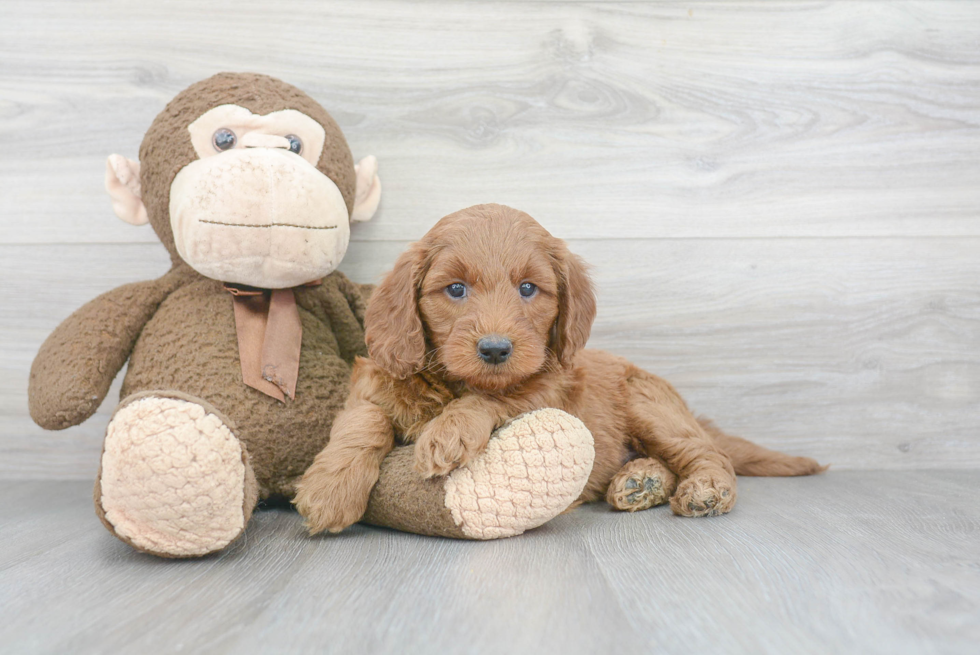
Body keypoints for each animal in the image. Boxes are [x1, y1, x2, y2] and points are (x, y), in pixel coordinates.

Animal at [294, 204, 824, 532]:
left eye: (529, 289)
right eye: (456, 289)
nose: (495, 349)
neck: (453, 383)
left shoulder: (548, 389)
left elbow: (495, 396)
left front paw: (450, 430)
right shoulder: (375, 380)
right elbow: (363, 422)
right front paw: (329, 489)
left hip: (650, 405)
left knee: (707, 453)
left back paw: (705, 489)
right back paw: (640, 481)